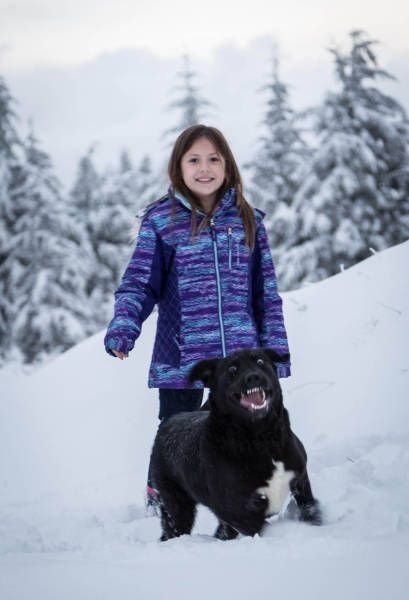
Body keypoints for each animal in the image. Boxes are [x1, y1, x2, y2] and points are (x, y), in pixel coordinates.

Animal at [150, 346, 322, 540]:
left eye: (260, 361)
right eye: (232, 369)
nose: (253, 377)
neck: (263, 440)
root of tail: (170, 421)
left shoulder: (301, 479)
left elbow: (310, 508)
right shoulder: (233, 510)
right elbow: (263, 528)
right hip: (176, 505)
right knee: (173, 528)